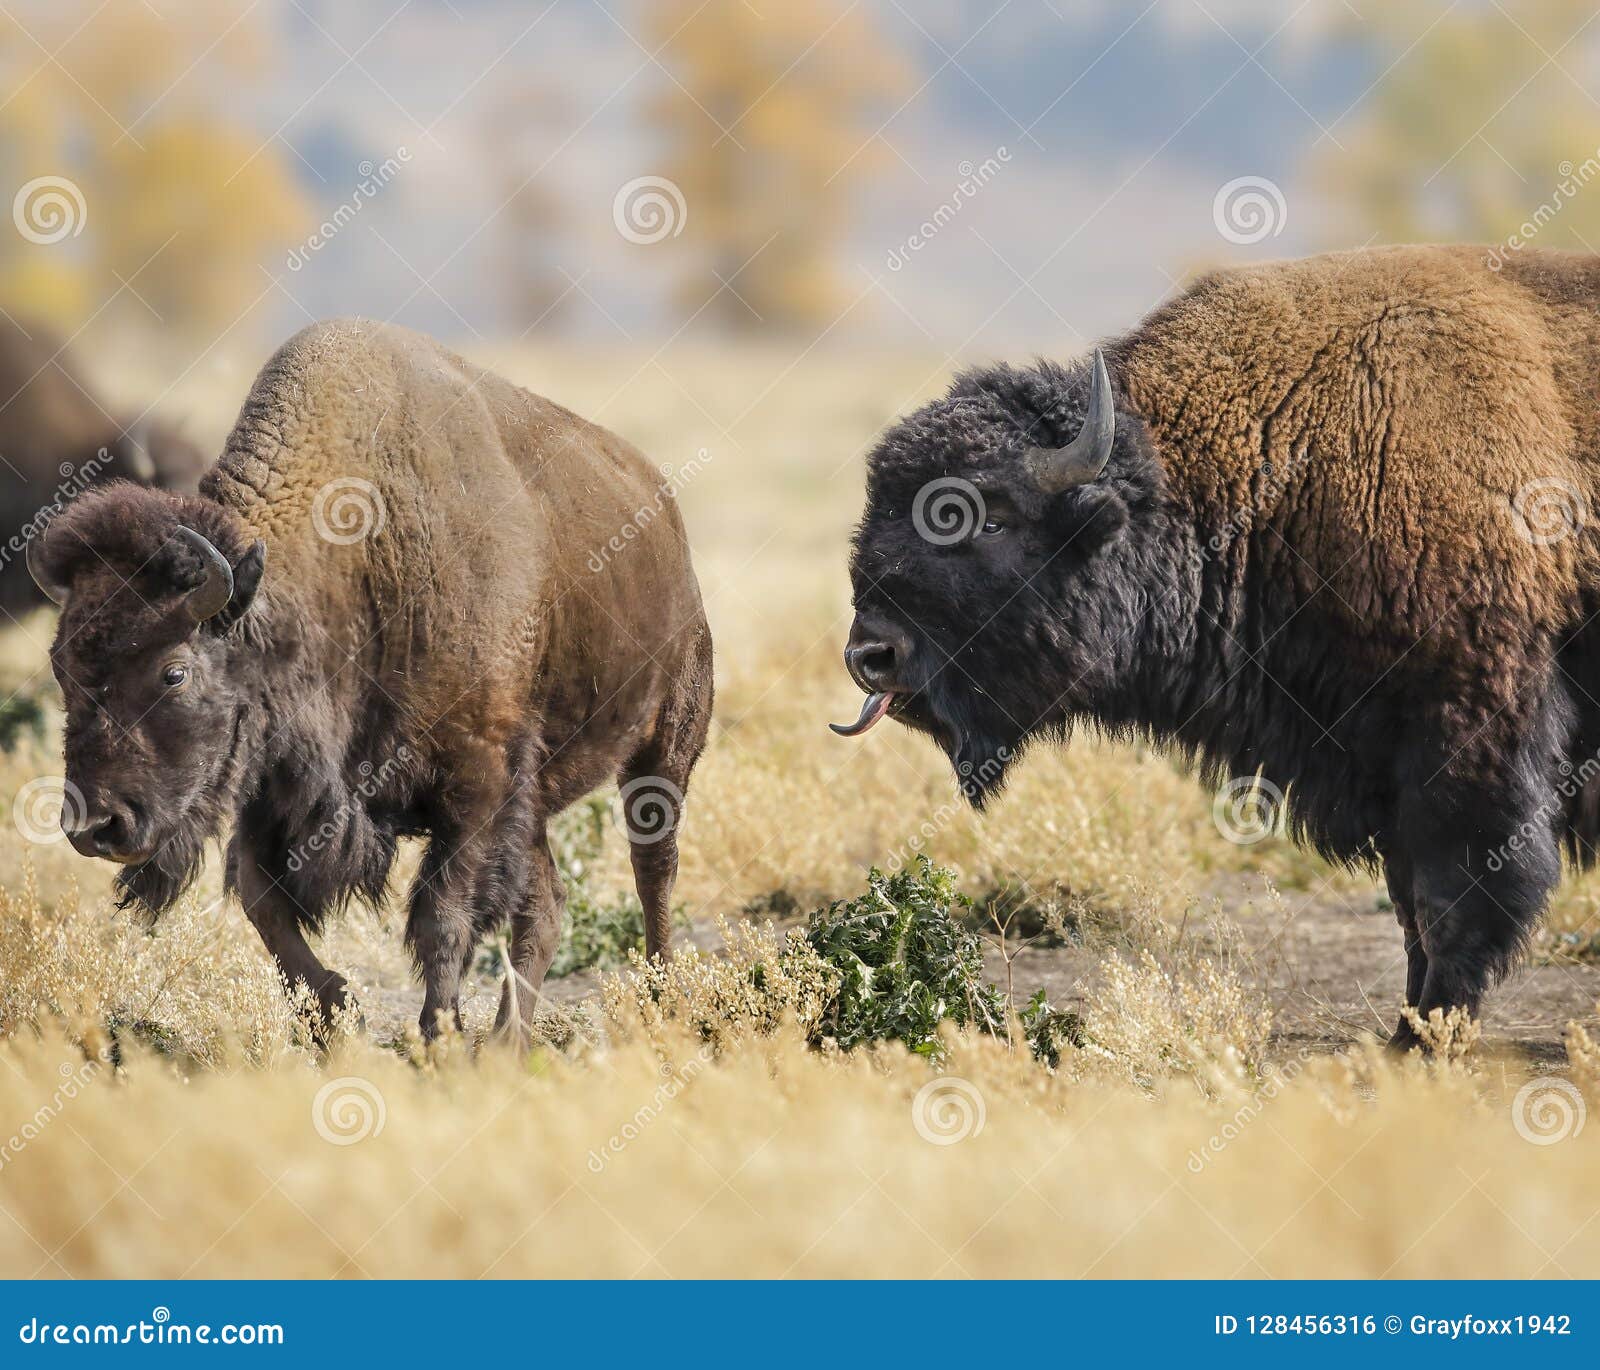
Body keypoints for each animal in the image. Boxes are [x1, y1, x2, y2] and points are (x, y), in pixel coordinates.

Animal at [31, 318, 713, 1037]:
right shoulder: (273, 786)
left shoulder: (478, 783)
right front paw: (339, 1013)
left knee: (652, 866)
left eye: (174, 673)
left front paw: (436, 1035)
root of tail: (663, 512)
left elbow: (443, 917)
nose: (95, 827)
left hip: (665, 748)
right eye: (61, 669)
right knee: (547, 904)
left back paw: (661, 994)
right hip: (538, 803)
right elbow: (263, 900)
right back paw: (507, 1041)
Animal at [838, 243, 1600, 1049]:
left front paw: (1420, 1042)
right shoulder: (1383, 767)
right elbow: (1411, 910)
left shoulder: (1469, 737)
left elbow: (1456, 901)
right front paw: (1407, 1035)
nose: (870, 655)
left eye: (986, 517)